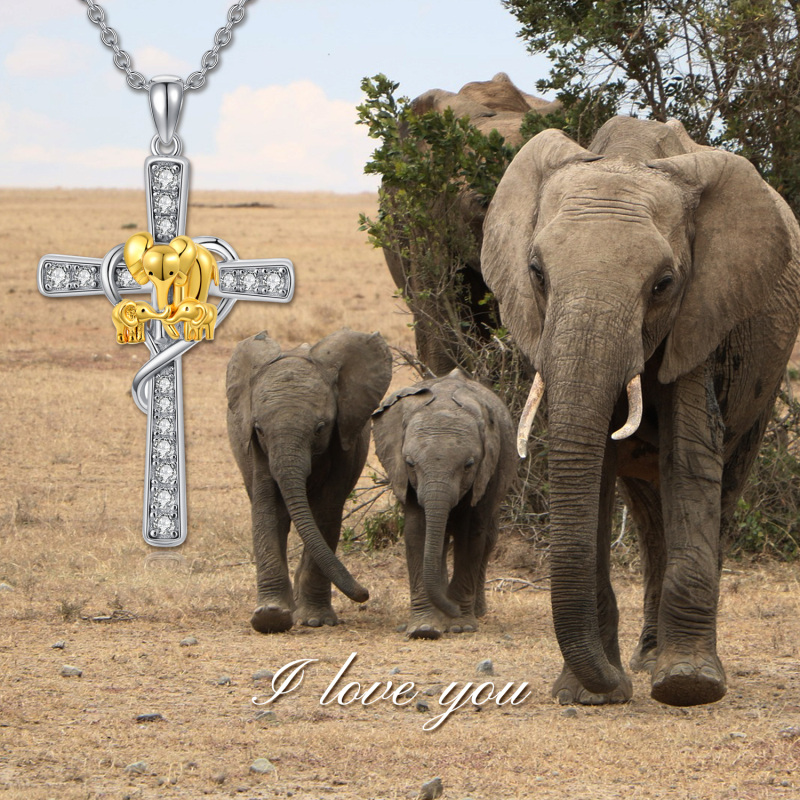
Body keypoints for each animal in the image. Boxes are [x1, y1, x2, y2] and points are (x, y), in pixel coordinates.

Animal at [226, 328, 392, 633]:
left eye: (320, 428)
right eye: (259, 429)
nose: (364, 594)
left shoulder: (344, 438)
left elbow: (326, 510)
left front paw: (315, 620)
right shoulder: (256, 447)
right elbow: (268, 507)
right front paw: (270, 617)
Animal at [372, 369, 516, 639]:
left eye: (469, 465)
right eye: (410, 463)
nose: (451, 608)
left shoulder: (488, 470)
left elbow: (470, 534)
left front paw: (460, 624)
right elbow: (418, 531)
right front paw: (425, 628)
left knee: (488, 538)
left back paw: (475, 611)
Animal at [481, 115, 800, 706]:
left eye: (663, 284)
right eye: (536, 272)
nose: (617, 688)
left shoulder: (702, 312)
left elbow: (689, 455)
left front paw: (687, 686)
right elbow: (598, 468)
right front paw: (586, 694)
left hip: (764, 381)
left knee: (721, 486)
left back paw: (664, 664)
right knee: (649, 513)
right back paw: (646, 657)